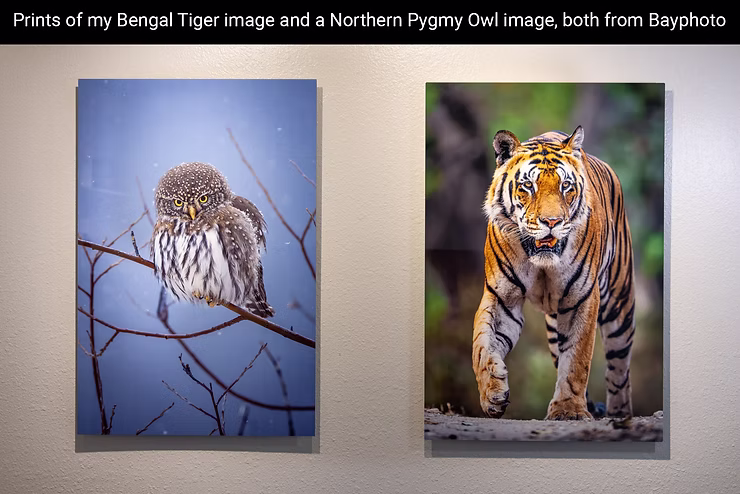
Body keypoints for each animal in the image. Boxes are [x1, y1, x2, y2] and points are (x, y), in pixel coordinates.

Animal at [472, 126, 635, 420]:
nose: (552, 222)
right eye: (528, 186)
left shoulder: (582, 299)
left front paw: (568, 410)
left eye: (565, 186)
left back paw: (619, 415)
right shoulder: (501, 297)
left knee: (619, 370)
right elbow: (482, 344)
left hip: (619, 306)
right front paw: (492, 392)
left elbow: (577, 360)